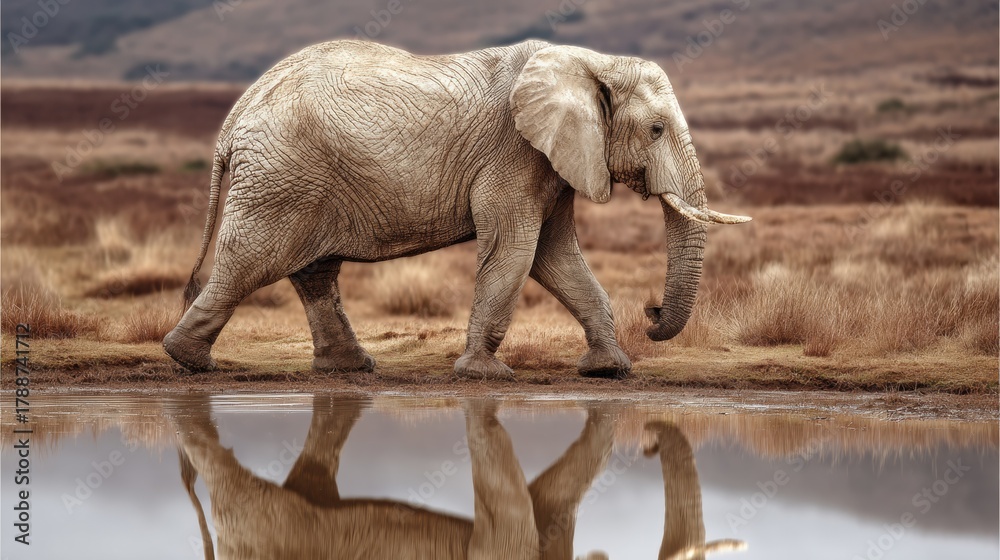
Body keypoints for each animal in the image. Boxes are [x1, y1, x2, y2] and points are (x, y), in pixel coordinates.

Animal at [162, 39, 751, 379]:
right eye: (656, 130)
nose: (650, 312)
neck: (590, 62)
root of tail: (236, 113)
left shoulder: (551, 158)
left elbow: (555, 256)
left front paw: (608, 371)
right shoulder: (513, 150)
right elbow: (516, 251)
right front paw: (482, 375)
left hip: (297, 179)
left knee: (313, 272)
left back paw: (349, 369)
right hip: (281, 177)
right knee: (248, 263)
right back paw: (188, 360)